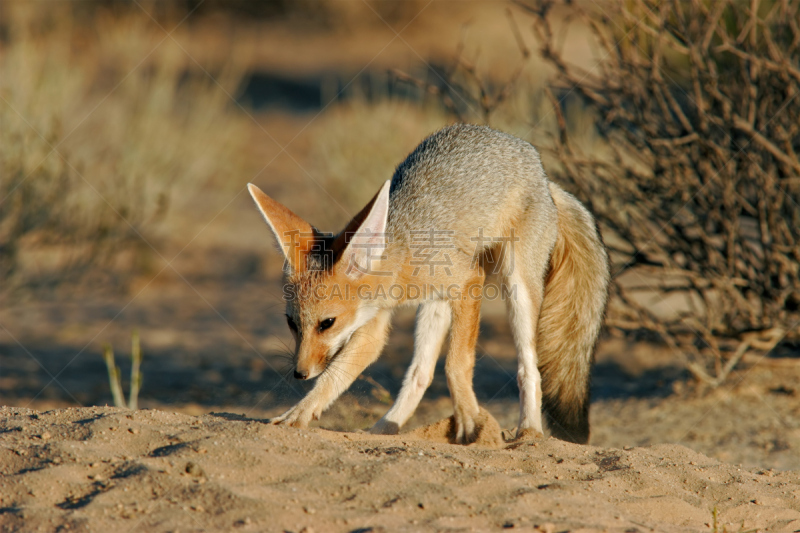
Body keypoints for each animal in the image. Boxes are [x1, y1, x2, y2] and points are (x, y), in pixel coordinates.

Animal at [247, 122, 608, 442]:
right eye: (291, 323)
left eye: (327, 323)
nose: (299, 373)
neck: (401, 260)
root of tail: (543, 175)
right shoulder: (375, 323)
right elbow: (337, 375)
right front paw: (301, 411)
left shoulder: (469, 281)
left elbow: (456, 364)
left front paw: (469, 421)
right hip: (436, 304)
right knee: (420, 373)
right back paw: (385, 428)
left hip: (515, 288)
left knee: (528, 367)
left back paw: (529, 429)